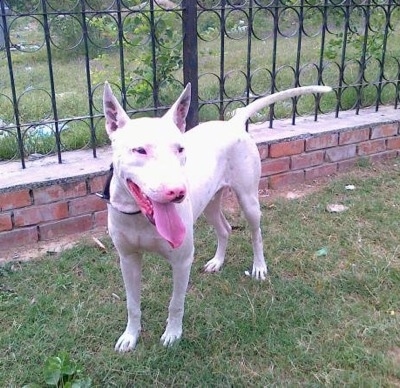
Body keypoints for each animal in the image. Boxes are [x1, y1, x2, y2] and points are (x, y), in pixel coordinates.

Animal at [102, 82, 332, 352]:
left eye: (180, 149)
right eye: (140, 150)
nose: (178, 192)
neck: (139, 216)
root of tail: (232, 123)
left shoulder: (182, 261)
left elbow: (175, 303)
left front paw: (172, 334)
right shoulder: (128, 259)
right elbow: (132, 304)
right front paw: (130, 336)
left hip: (248, 199)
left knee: (256, 233)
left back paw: (259, 267)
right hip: (210, 204)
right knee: (225, 229)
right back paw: (217, 262)